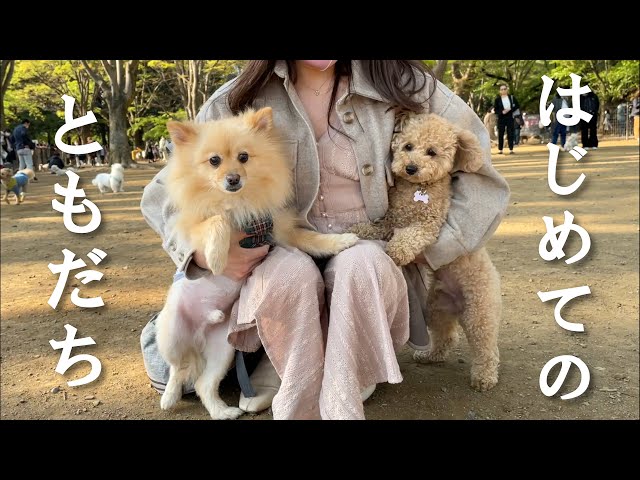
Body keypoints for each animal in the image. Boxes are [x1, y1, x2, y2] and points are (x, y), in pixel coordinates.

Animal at [156, 107, 358, 419]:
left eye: (243, 157)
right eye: (214, 161)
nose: (232, 178)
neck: (239, 204)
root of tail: (201, 329)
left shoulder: (279, 230)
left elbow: (311, 238)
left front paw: (341, 240)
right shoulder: (190, 225)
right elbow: (216, 222)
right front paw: (217, 258)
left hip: (222, 350)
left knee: (202, 382)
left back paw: (222, 411)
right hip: (171, 336)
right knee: (178, 369)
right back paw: (169, 397)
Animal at [349, 113, 502, 391]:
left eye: (431, 152)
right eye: (408, 146)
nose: (411, 167)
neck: (418, 190)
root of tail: (458, 306)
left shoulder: (428, 227)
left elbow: (410, 237)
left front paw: (398, 250)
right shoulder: (390, 222)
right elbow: (375, 227)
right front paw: (358, 228)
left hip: (479, 313)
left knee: (486, 347)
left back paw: (484, 378)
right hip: (436, 309)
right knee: (446, 336)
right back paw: (430, 355)